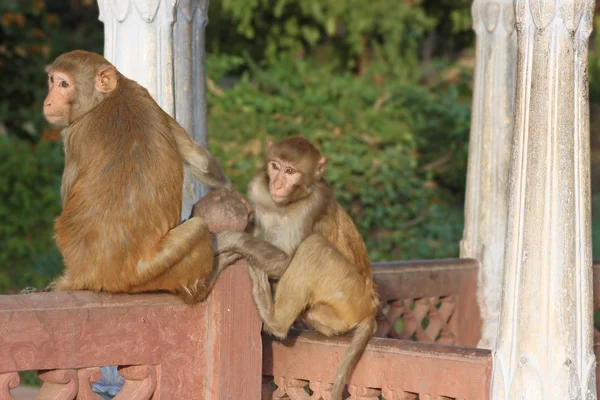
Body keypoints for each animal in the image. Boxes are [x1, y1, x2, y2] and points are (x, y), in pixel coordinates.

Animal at [44, 50, 230, 304]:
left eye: (64, 84)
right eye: (52, 80)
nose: (48, 101)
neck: (108, 97)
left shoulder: (74, 133)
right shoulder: (144, 94)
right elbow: (199, 159)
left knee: (200, 226)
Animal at [213, 137, 378, 396]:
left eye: (291, 171)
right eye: (275, 166)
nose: (278, 184)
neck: (285, 204)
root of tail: (370, 306)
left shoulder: (311, 205)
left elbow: (285, 262)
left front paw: (225, 240)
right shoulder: (259, 189)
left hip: (349, 295)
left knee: (313, 247)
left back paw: (275, 320)